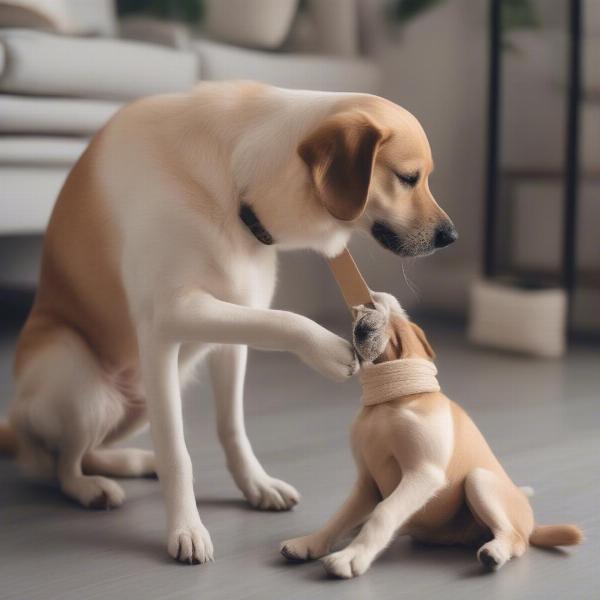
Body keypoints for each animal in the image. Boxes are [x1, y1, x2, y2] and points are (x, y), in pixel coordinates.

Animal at [0, 83, 454, 564]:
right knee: (63, 464)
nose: (452, 236)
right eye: (408, 177)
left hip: (135, 408)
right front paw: (186, 529)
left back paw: (133, 462)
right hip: (82, 382)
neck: (237, 183)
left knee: (86, 452)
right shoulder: (167, 319)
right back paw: (90, 487)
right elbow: (179, 450)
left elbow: (233, 425)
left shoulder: (234, 327)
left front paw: (256, 485)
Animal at [284, 294, 584, 576]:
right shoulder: (367, 484)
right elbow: (339, 519)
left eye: (397, 319)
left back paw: (495, 552)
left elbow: (383, 513)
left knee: (516, 539)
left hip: (478, 480)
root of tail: (532, 523)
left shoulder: (422, 473)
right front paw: (310, 542)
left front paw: (352, 556)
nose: (365, 312)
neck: (392, 401)